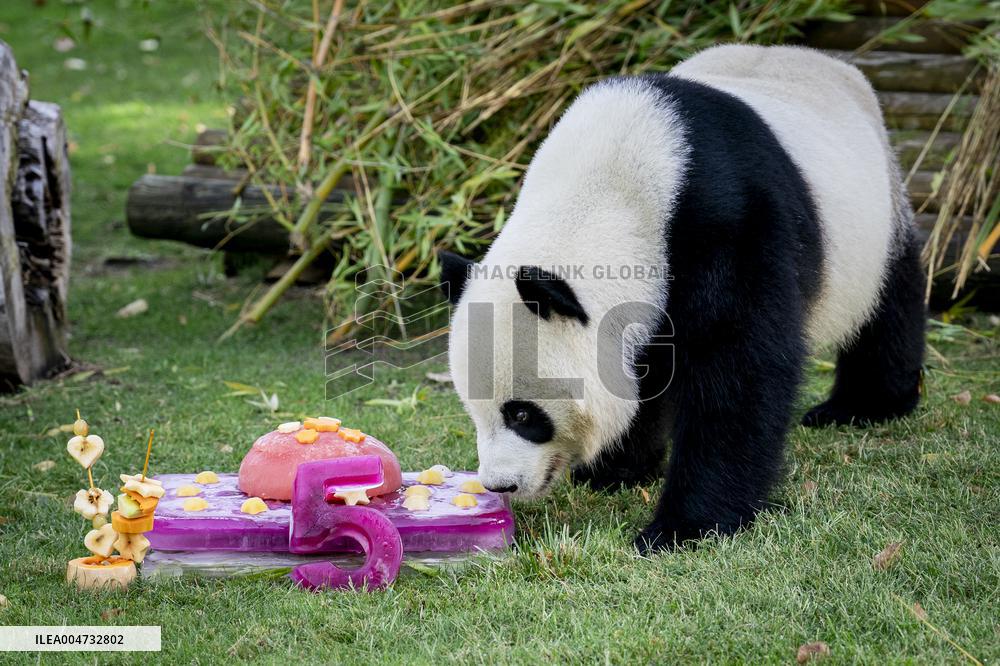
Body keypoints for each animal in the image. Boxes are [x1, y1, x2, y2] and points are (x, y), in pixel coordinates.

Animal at [439, 45, 926, 552]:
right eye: (472, 410)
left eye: (522, 414)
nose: (501, 484)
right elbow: (641, 374)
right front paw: (618, 469)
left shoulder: (728, 223)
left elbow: (738, 370)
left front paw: (683, 527)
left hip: (875, 216)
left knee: (888, 305)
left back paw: (863, 407)